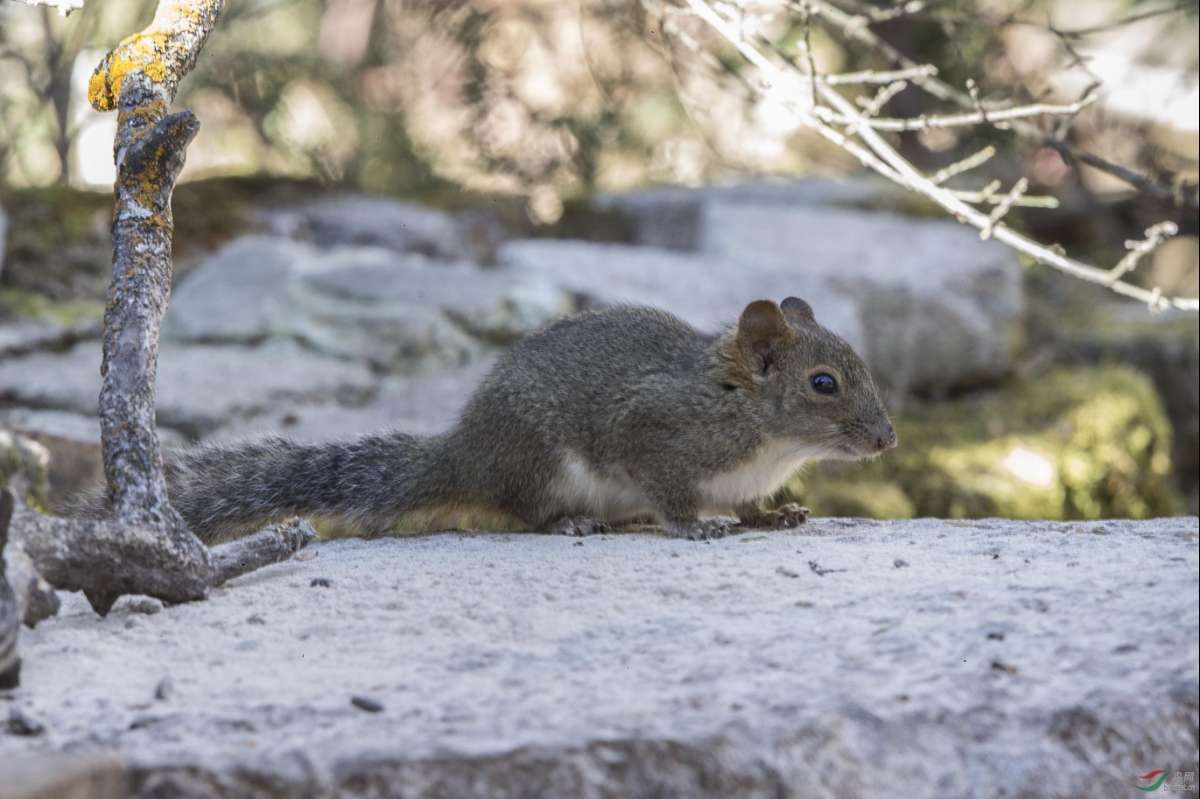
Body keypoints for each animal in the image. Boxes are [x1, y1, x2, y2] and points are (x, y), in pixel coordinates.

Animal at [171, 295, 902, 544]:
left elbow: (750, 507)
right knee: (523, 513)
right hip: (543, 465)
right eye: (824, 383)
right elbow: (672, 494)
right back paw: (572, 522)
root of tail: (465, 453)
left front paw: (775, 516)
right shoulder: (652, 434)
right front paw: (696, 526)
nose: (887, 438)